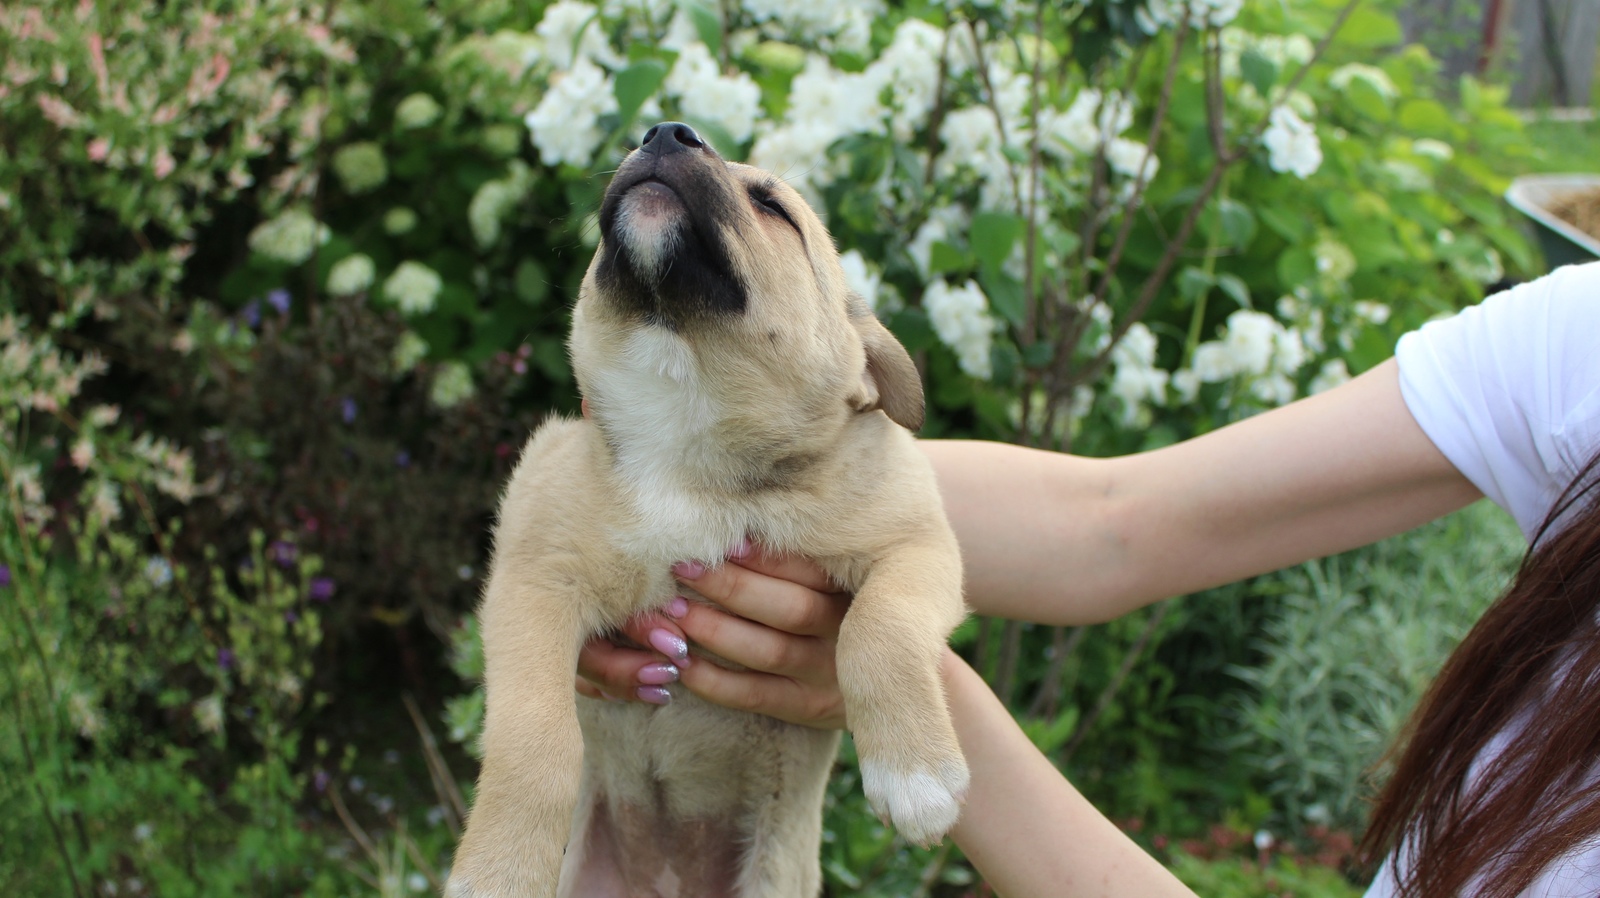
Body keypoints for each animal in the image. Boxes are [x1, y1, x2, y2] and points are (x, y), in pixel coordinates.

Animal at [454, 120, 972, 896]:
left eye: (773, 207)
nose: (666, 131)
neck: (683, 425)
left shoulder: (916, 547)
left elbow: (879, 631)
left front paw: (915, 775)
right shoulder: (533, 584)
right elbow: (534, 739)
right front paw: (500, 868)